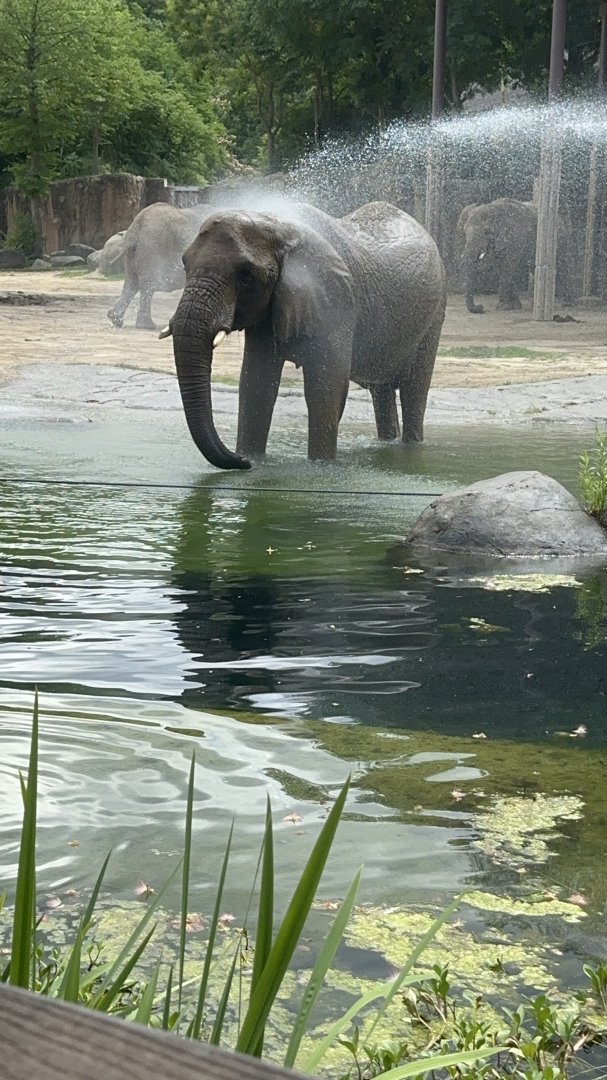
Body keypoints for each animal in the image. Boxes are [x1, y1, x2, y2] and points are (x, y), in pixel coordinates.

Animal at [165, 199, 446, 470]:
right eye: (184, 263)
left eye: (246, 276)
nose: (241, 462)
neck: (277, 225)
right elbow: (256, 383)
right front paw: (255, 461)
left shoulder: (337, 302)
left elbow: (325, 388)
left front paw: (320, 467)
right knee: (383, 392)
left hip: (435, 315)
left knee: (414, 391)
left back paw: (410, 448)